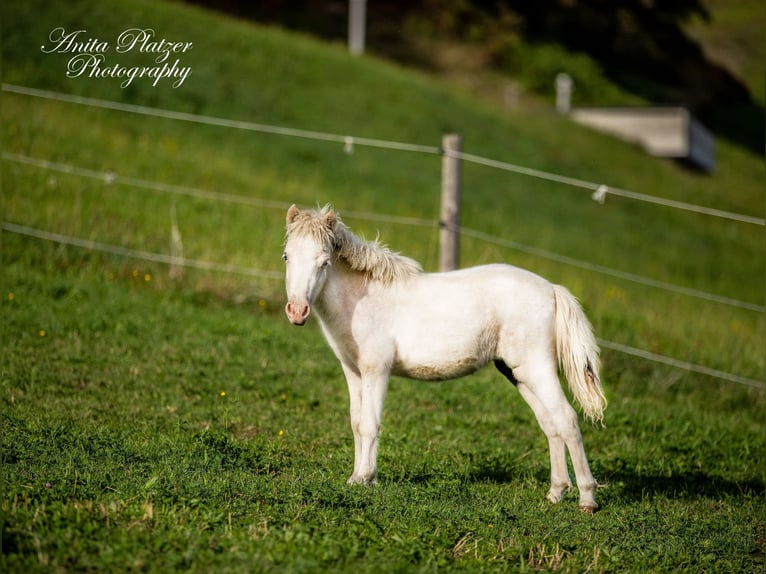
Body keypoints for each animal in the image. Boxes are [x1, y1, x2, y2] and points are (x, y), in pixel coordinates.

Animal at [282, 205, 608, 510]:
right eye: (286, 256)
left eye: (324, 261)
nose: (297, 311)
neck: (364, 299)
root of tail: (552, 289)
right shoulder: (353, 371)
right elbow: (356, 422)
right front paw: (357, 479)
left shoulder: (377, 370)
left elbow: (370, 424)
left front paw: (365, 478)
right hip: (519, 374)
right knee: (551, 424)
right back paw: (555, 493)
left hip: (538, 370)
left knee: (567, 420)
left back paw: (587, 499)